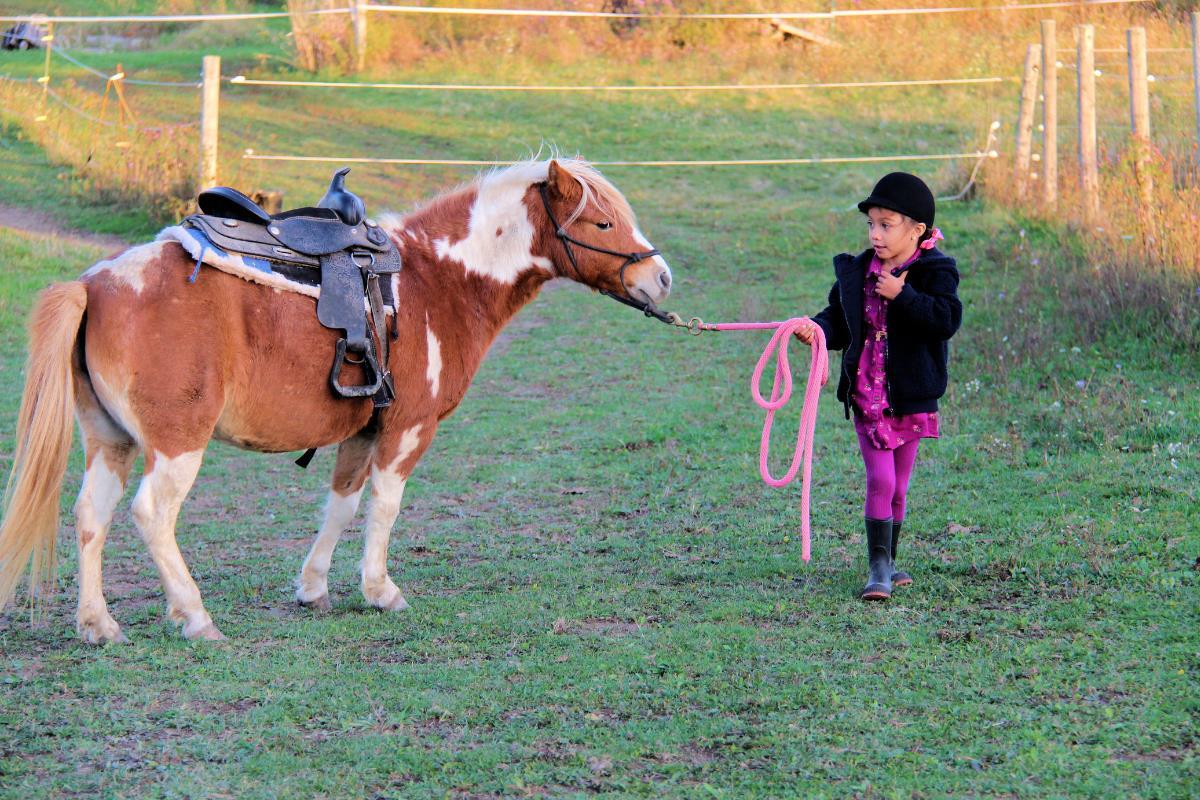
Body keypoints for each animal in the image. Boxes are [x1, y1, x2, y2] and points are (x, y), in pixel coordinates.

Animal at [0, 158, 673, 643]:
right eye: (603, 224)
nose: (661, 278)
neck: (436, 281)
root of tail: (92, 285)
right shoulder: (408, 429)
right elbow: (385, 506)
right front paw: (380, 590)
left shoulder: (360, 430)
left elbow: (342, 506)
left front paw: (314, 588)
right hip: (175, 444)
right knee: (151, 515)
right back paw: (195, 617)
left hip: (109, 441)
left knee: (91, 515)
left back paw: (98, 625)